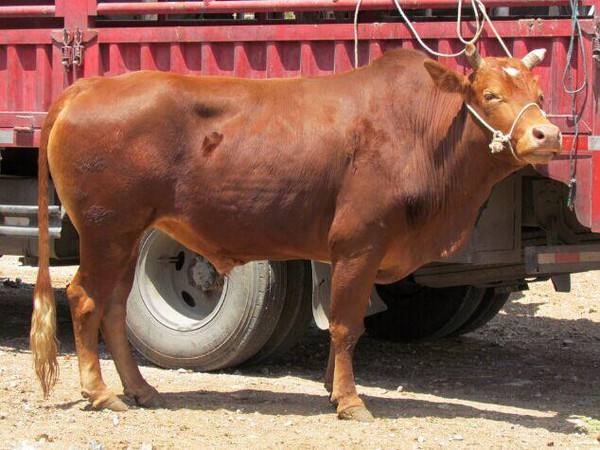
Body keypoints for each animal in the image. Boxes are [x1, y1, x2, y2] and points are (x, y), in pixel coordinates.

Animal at [30, 44, 560, 420]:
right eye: (491, 95)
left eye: (539, 97)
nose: (548, 135)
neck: (421, 132)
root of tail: (89, 87)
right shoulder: (360, 245)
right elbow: (347, 325)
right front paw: (350, 400)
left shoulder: (342, 253)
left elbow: (344, 324)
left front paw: (331, 388)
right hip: (105, 232)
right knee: (84, 299)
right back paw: (101, 393)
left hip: (126, 237)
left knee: (114, 308)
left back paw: (141, 389)